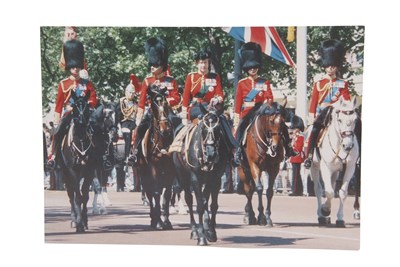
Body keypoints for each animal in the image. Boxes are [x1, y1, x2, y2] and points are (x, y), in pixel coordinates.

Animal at [173, 104, 231, 247]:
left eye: (218, 128)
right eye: (204, 128)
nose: (211, 154)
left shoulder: (215, 179)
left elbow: (212, 205)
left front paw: (212, 232)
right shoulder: (195, 178)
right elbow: (199, 205)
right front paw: (202, 238)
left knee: (204, 199)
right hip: (183, 177)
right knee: (189, 200)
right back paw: (195, 231)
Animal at [308, 97, 360, 228]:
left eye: (355, 120)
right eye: (340, 119)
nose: (348, 145)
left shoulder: (350, 168)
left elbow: (342, 193)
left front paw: (340, 218)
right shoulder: (325, 167)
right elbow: (329, 192)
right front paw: (325, 210)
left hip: (336, 171)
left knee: (331, 185)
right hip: (314, 166)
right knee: (318, 188)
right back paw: (321, 215)